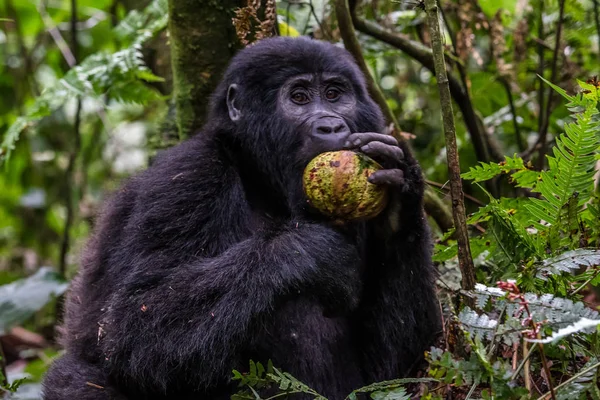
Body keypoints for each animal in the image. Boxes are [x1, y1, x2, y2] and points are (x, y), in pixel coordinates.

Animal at [42, 37, 440, 400]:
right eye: (299, 97)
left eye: (333, 93)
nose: (331, 126)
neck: (261, 182)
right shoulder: (189, 176)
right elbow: (131, 327)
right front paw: (311, 251)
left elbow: (397, 371)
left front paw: (402, 198)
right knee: (79, 378)